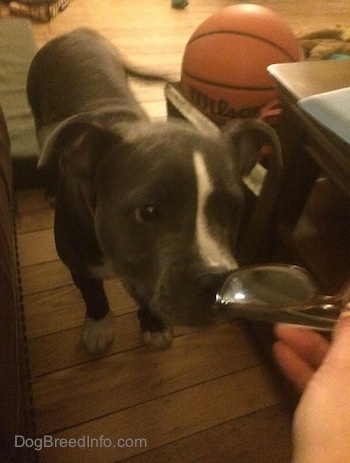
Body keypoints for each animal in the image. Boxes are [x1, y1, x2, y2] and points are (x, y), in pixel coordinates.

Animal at [26, 28, 280, 356]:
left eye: (233, 209)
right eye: (147, 212)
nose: (216, 282)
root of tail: (76, 32)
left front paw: (153, 325)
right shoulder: (80, 266)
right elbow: (93, 295)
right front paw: (98, 326)